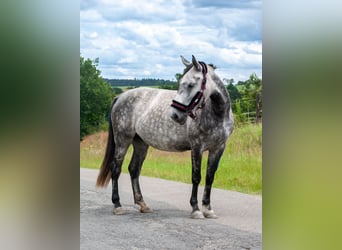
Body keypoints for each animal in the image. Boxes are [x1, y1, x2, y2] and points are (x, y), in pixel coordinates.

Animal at [97, 55, 234, 219]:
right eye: (180, 83)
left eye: (191, 84)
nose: (175, 115)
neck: (216, 114)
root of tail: (120, 96)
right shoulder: (197, 147)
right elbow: (196, 177)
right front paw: (196, 209)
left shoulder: (218, 148)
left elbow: (209, 177)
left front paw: (208, 209)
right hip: (122, 141)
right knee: (116, 169)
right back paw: (117, 205)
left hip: (140, 143)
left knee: (134, 170)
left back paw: (143, 204)